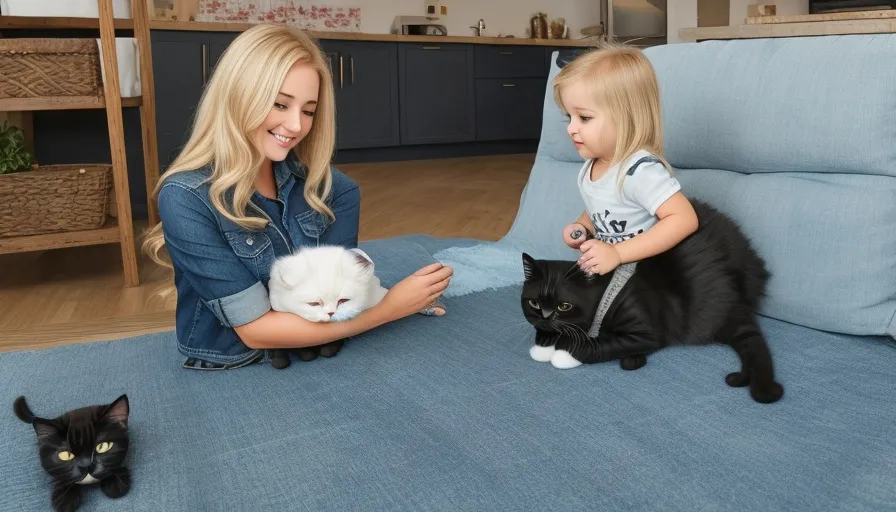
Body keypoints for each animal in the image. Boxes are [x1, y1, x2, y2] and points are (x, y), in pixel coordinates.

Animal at [520, 200, 784, 404]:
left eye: (564, 306)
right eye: (534, 304)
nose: (545, 316)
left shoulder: (646, 331)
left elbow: (598, 344)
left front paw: (565, 352)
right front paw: (545, 341)